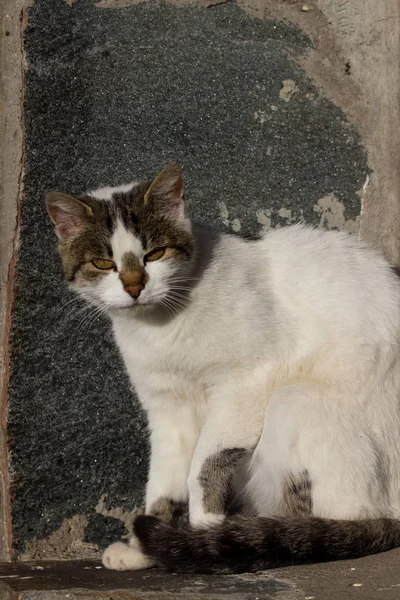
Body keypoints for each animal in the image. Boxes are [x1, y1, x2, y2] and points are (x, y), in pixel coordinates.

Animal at [45, 163, 400, 572]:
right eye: (103, 263)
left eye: (155, 254)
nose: (134, 287)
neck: (161, 329)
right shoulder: (166, 408)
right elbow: (163, 479)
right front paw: (142, 550)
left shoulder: (246, 381)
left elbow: (206, 461)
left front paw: (203, 532)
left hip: (293, 400)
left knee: (340, 513)